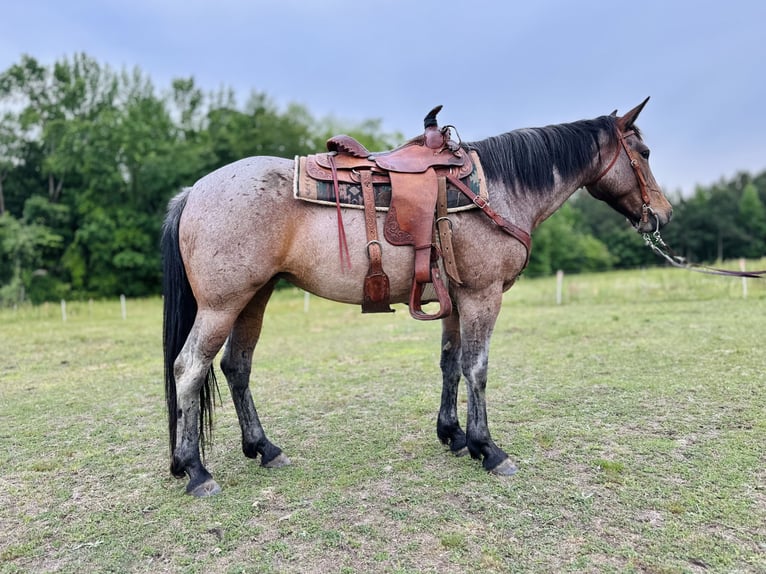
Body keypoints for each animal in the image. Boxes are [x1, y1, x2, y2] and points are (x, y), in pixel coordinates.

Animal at [162, 98, 673, 496]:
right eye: (645, 152)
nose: (663, 214)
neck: (499, 190)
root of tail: (194, 191)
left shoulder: (457, 301)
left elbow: (450, 364)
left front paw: (454, 435)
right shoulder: (483, 296)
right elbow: (477, 368)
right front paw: (488, 448)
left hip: (255, 298)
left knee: (236, 367)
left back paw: (264, 449)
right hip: (222, 306)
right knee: (189, 368)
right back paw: (196, 470)